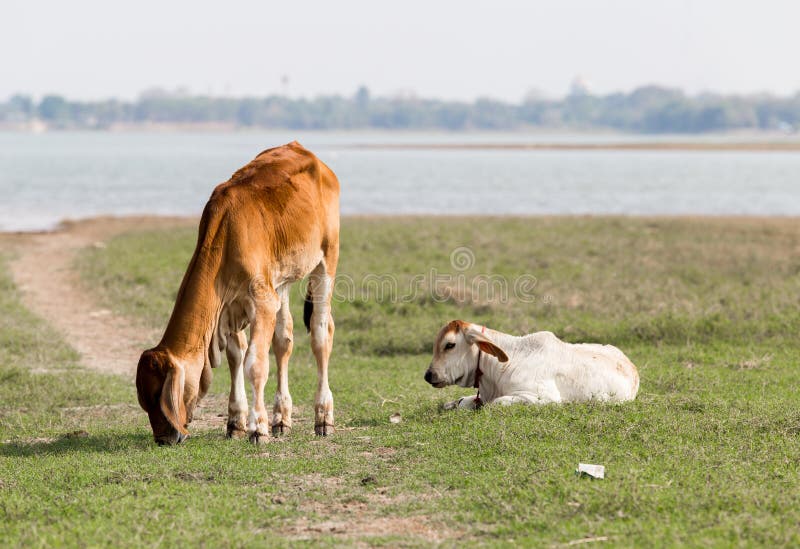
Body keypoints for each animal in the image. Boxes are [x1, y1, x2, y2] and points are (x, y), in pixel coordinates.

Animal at [136, 142, 339, 445]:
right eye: (144, 402)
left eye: (158, 397)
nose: (163, 438)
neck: (226, 235)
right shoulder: (230, 306)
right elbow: (236, 356)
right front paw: (236, 422)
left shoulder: (261, 301)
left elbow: (254, 363)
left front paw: (258, 428)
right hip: (281, 280)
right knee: (284, 340)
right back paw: (282, 419)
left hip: (326, 259)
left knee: (320, 334)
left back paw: (323, 417)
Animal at [424, 320, 639, 409]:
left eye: (450, 345)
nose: (428, 375)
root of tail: (631, 366)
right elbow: (461, 401)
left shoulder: (544, 397)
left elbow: (495, 404)